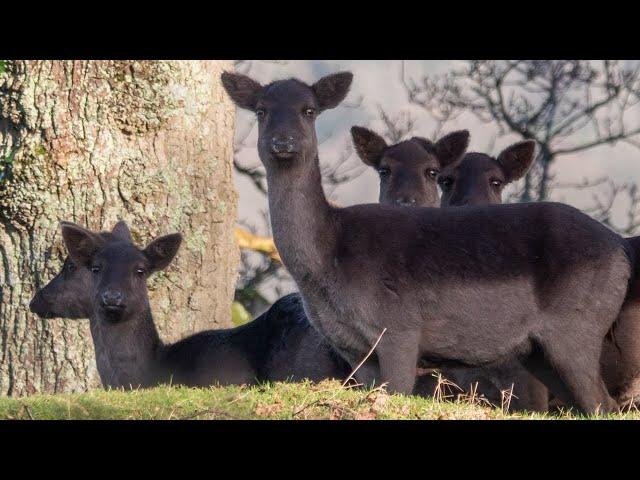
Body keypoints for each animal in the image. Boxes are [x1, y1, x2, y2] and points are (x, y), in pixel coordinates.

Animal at [222, 69, 632, 414]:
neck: (329, 262)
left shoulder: (399, 329)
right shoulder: (354, 350)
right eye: (261, 111)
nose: (283, 143)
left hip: (576, 327)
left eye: (309, 110)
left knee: (605, 404)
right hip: (539, 353)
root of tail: (621, 253)